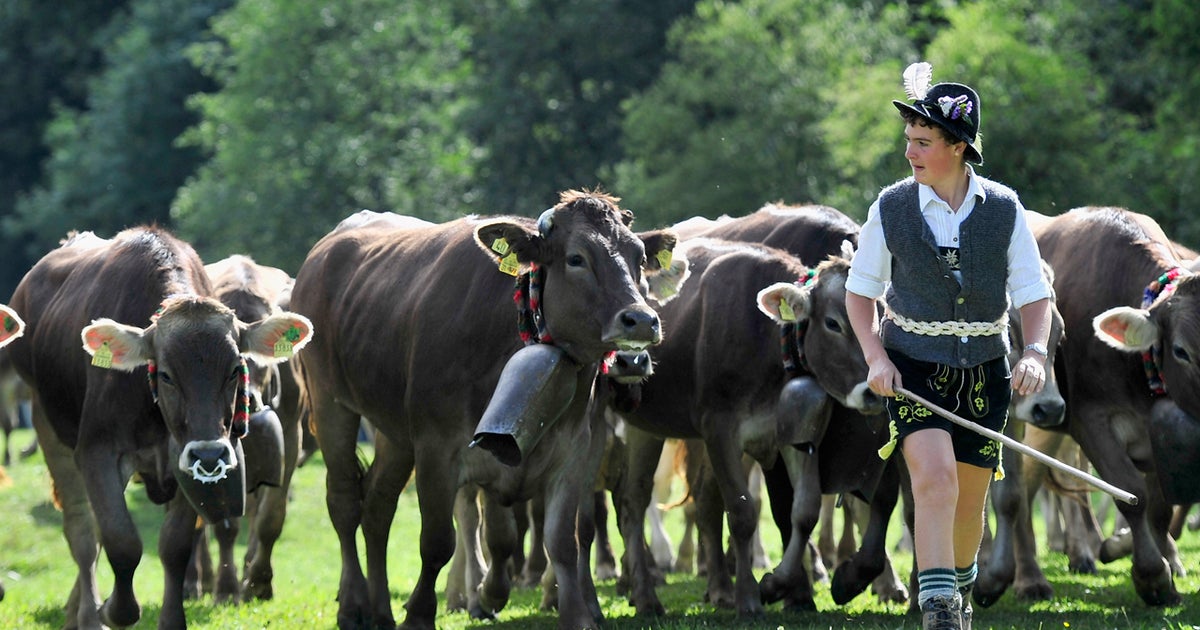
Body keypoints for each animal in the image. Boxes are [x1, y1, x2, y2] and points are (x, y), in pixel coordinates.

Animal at [6, 227, 313, 629]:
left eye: (234, 368)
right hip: (48, 425)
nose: (209, 452)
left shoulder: (187, 459)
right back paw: (87, 614)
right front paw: (115, 609)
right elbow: (121, 539)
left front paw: (171, 618)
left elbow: (174, 546)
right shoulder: (97, 451)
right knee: (83, 530)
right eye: (166, 374)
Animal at [289, 190, 678, 630]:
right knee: (344, 501)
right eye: (576, 258)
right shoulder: (437, 449)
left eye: (638, 257)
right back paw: (354, 605)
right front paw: (423, 614)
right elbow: (440, 541)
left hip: (392, 433)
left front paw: (572, 613)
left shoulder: (571, 450)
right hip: (331, 404)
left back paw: (381, 610)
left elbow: (559, 540)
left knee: (377, 507)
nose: (641, 320)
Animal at [609, 235, 883, 617]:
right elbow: (742, 513)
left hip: (648, 426)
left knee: (655, 501)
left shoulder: (791, 432)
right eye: (833, 323)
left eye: (880, 313)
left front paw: (775, 584)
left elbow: (804, 511)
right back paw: (646, 596)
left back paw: (698, 590)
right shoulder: (719, 428)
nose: (873, 392)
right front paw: (750, 598)